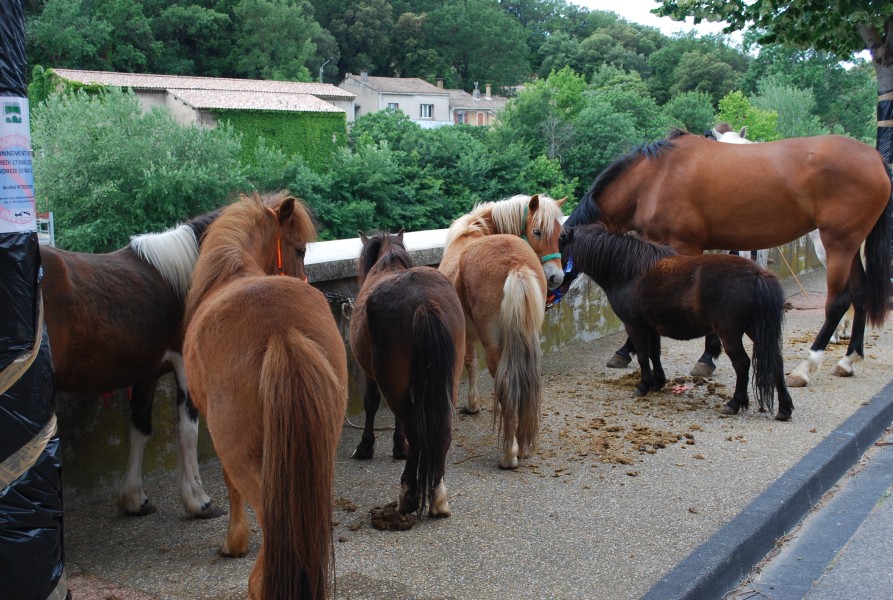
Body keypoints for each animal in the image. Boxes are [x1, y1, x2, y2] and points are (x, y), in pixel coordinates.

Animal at [348, 230, 464, 520]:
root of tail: (424, 301)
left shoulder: (369, 374)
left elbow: (371, 404)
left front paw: (368, 447)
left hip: (392, 381)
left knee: (416, 430)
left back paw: (409, 494)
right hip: (450, 380)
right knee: (442, 430)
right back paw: (438, 496)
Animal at [560, 221, 792, 422]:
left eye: (560, 248)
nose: (556, 280)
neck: (629, 270)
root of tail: (757, 273)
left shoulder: (634, 326)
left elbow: (642, 356)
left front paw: (643, 386)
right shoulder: (651, 327)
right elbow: (654, 353)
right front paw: (657, 383)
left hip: (729, 333)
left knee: (742, 363)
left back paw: (734, 403)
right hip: (755, 329)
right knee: (776, 360)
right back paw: (784, 408)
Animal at [564, 129, 892, 386]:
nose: (556, 283)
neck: (653, 178)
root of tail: (876, 159)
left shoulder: (682, 246)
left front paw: (704, 356)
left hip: (837, 243)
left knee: (838, 302)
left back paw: (805, 367)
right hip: (850, 246)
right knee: (860, 294)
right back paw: (849, 360)